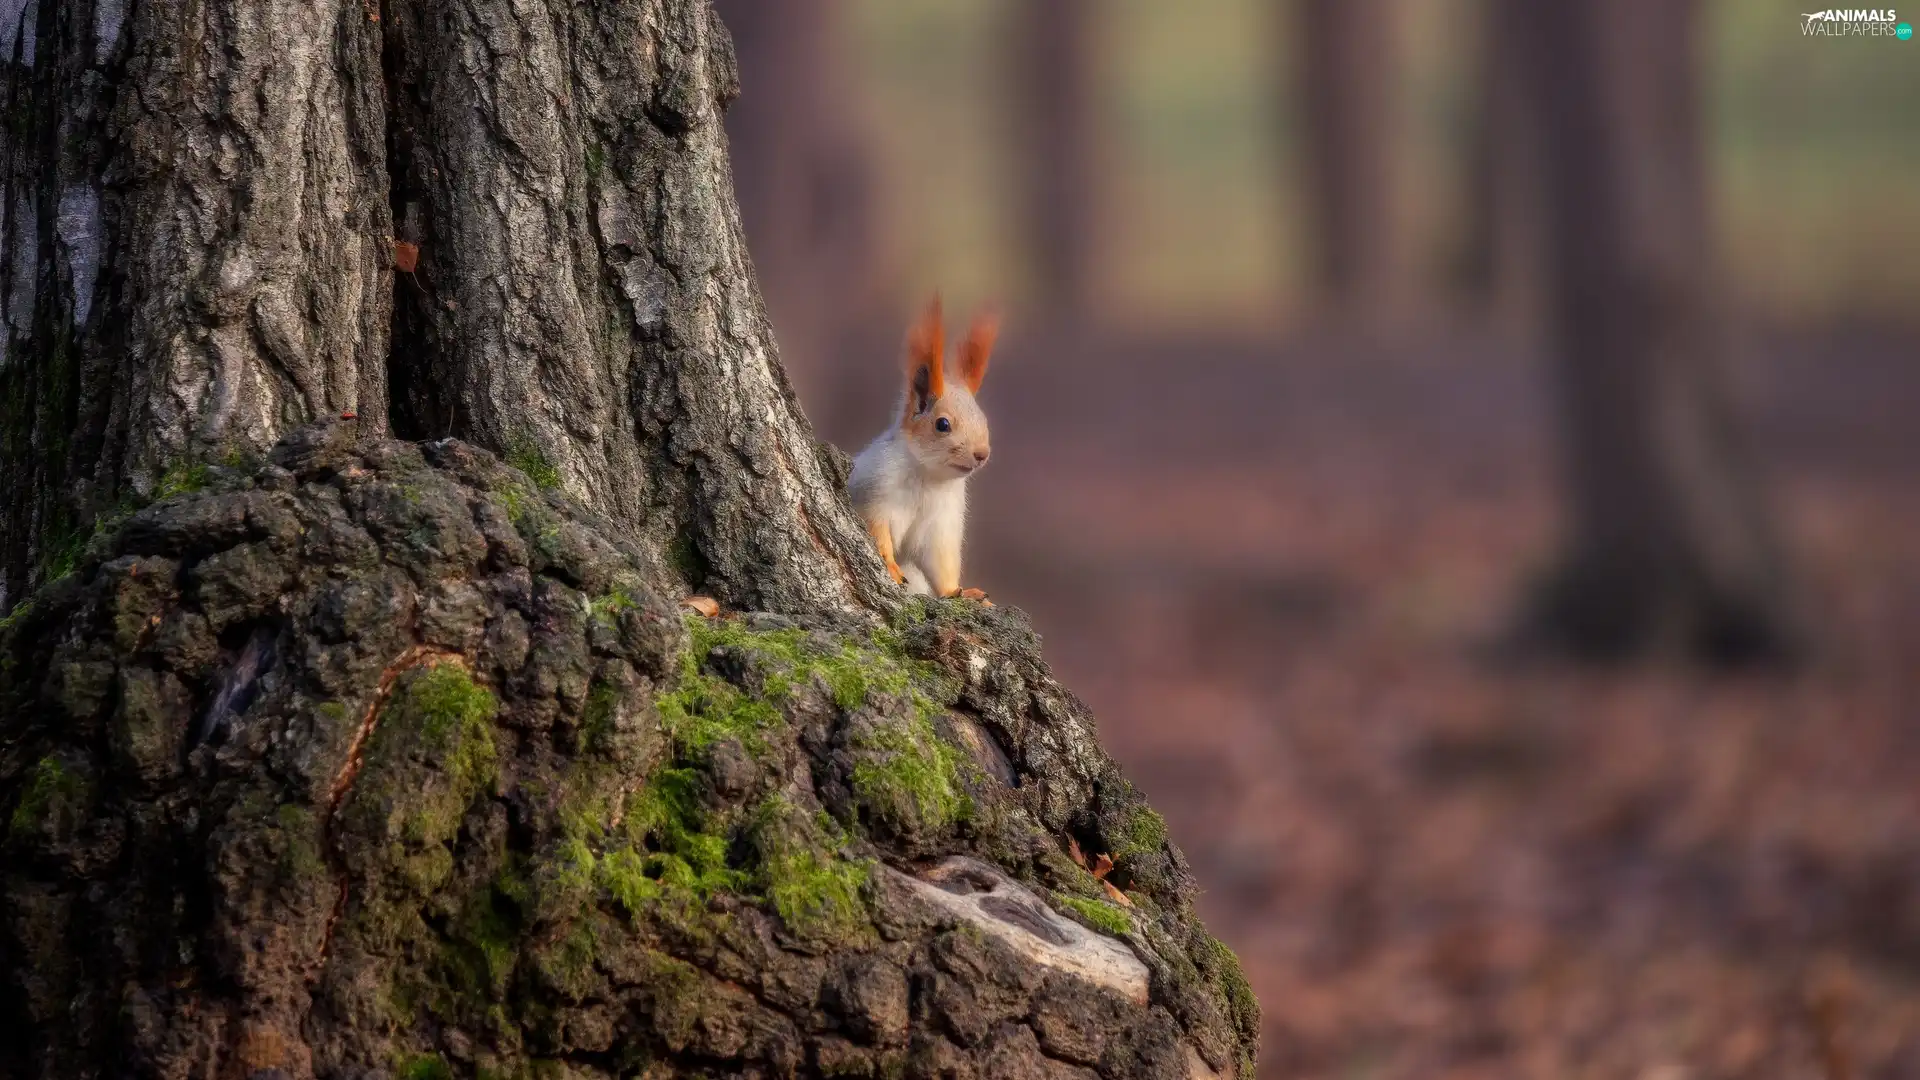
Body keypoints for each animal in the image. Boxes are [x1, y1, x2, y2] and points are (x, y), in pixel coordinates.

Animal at [856, 292, 1006, 595]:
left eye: (983, 419)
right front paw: (889, 564)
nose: (982, 454)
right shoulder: (875, 491)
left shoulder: (942, 525)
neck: (928, 477)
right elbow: (876, 530)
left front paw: (958, 592)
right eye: (942, 424)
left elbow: (940, 563)